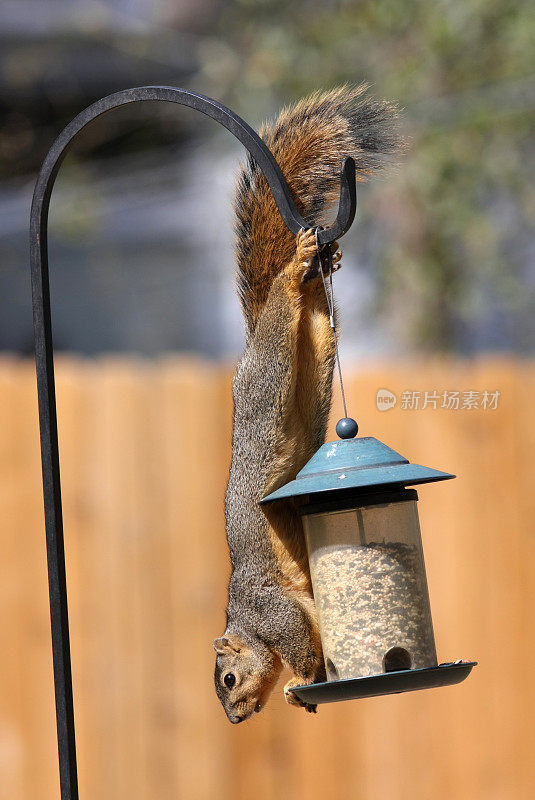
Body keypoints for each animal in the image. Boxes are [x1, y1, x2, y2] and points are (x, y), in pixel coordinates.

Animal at [214, 84, 402, 720]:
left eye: (227, 680)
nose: (237, 717)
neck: (244, 622)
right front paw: (310, 688)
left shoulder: (274, 611)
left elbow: (298, 641)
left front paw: (303, 679)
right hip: (310, 378)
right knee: (314, 324)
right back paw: (316, 273)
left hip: (267, 384)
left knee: (280, 314)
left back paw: (296, 270)